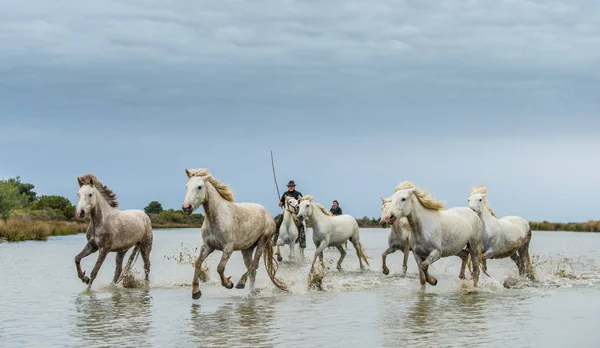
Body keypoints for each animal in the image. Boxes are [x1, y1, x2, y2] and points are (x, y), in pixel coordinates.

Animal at [180, 169, 288, 300]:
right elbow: (198, 263)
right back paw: (251, 292)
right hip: (247, 249)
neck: (215, 218)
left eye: (199, 187)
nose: (186, 208)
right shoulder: (207, 246)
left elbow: (220, 267)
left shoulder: (228, 248)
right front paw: (196, 292)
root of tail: (267, 213)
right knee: (252, 269)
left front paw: (228, 283)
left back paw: (240, 283)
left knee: (255, 265)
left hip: (263, 241)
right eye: (186, 186)